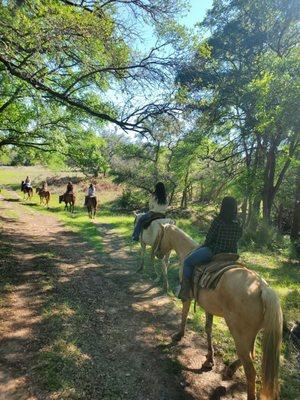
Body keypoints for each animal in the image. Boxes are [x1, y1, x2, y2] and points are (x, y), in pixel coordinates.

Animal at [154, 223, 282, 400]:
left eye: (160, 235)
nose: (157, 253)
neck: (187, 251)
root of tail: (262, 288)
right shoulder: (209, 308)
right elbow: (208, 329)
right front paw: (209, 358)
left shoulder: (187, 298)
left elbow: (184, 315)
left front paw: (179, 335)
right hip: (250, 334)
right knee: (251, 354)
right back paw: (231, 369)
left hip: (239, 334)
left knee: (250, 370)